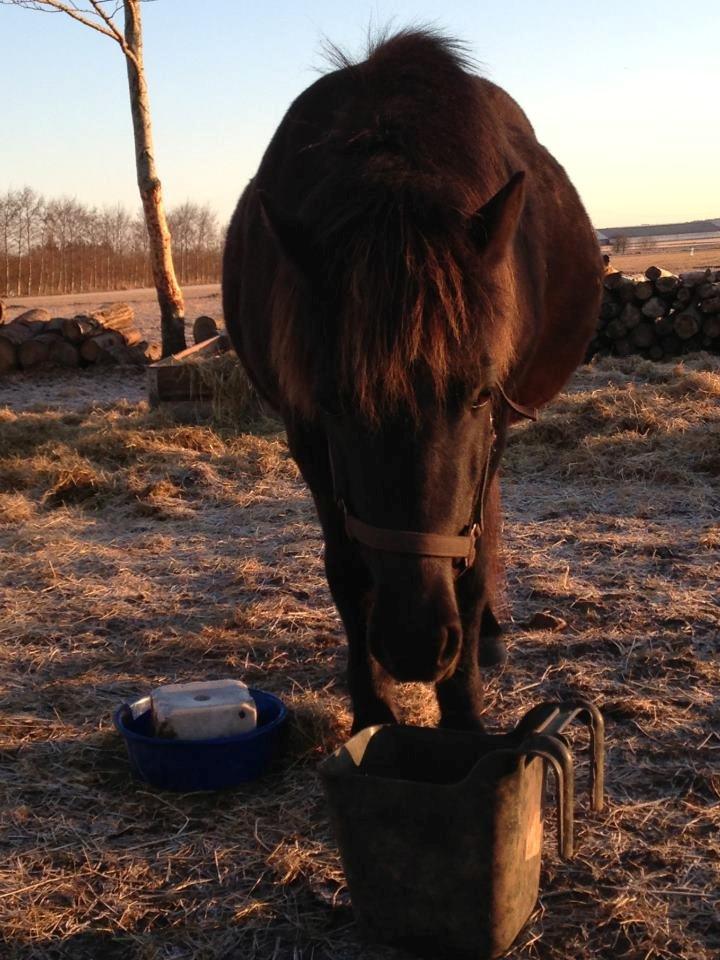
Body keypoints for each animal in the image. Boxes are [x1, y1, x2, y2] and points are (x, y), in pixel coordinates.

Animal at [222, 30, 604, 736]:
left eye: (477, 392)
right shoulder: (304, 433)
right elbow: (347, 571)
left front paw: (465, 716)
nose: (414, 644)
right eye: (334, 403)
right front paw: (371, 711)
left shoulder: (494, 424)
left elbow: (474, 563)